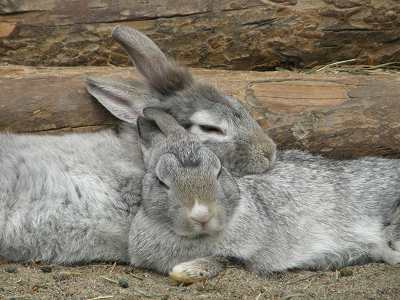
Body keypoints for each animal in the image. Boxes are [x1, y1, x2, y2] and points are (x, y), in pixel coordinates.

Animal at [127, 111, 400, 282]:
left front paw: (184, 271)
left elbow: (224, 260)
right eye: (161, 181)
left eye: (219, 170)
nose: (201, 214)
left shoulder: (250, 255)